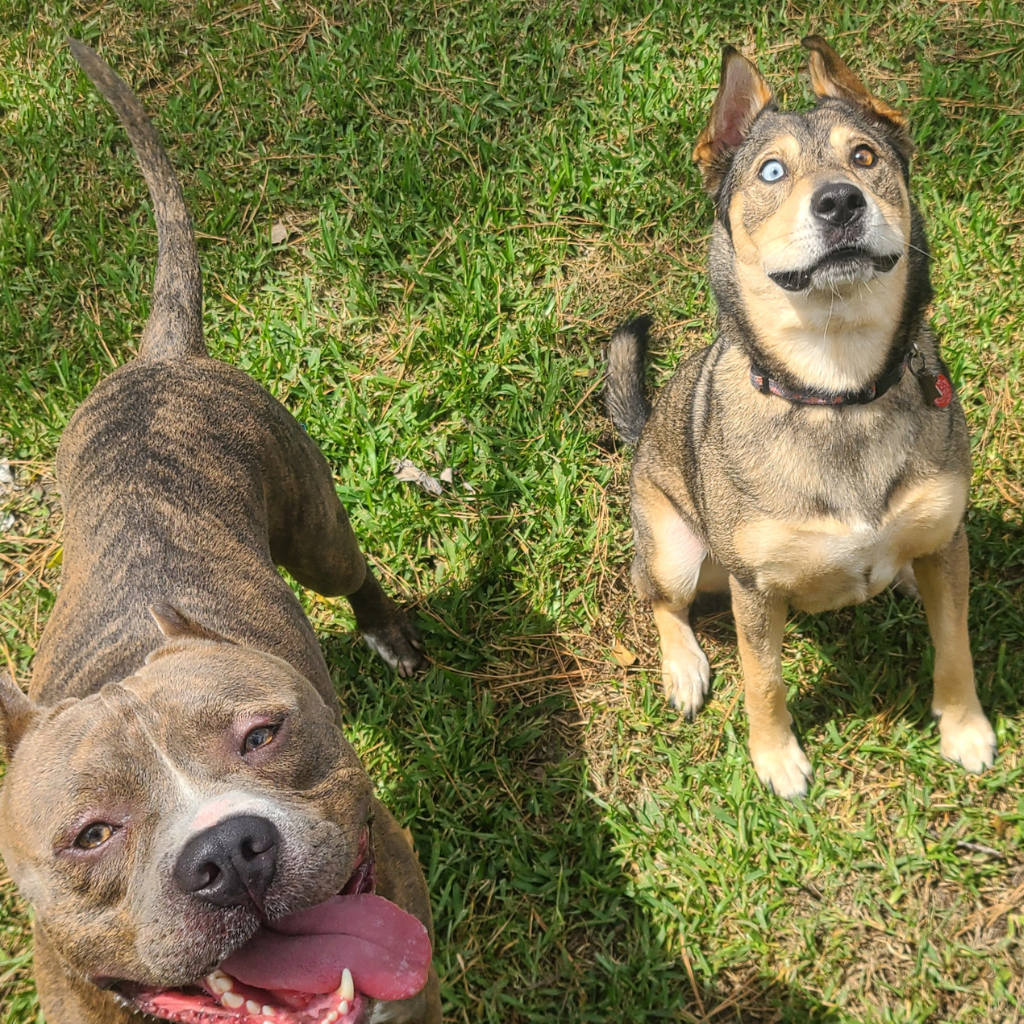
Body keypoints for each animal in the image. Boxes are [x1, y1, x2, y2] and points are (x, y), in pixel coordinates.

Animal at [0, 37, 440, 1024]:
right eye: (91, 834)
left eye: (262, 736)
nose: (228, 852)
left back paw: (387, 632)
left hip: (314, 526)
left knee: (349, 571)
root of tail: (160, 359)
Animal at [602, 34, 995, 798]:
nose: (839, 201)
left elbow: (956, 642)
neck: (837, 388)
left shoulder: (946, 541)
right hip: (673, 548)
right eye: (772, 170)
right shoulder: (756, 588)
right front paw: (776, 758)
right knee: (660, 598)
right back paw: (684, 667)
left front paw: (965, 729)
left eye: (865, 156)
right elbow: (765, 680)